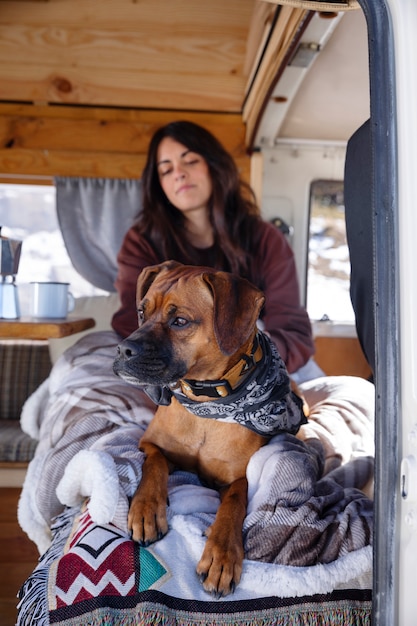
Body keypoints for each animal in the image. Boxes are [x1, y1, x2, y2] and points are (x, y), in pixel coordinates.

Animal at [112, 260, 308, 596]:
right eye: (141, 311)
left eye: (179, 321)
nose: (123, 350)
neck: (204, 406)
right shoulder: (149, 443)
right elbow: (155, 462)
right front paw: (146, 508)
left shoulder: (239, 477)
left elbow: (233, 503)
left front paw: (222, 556)